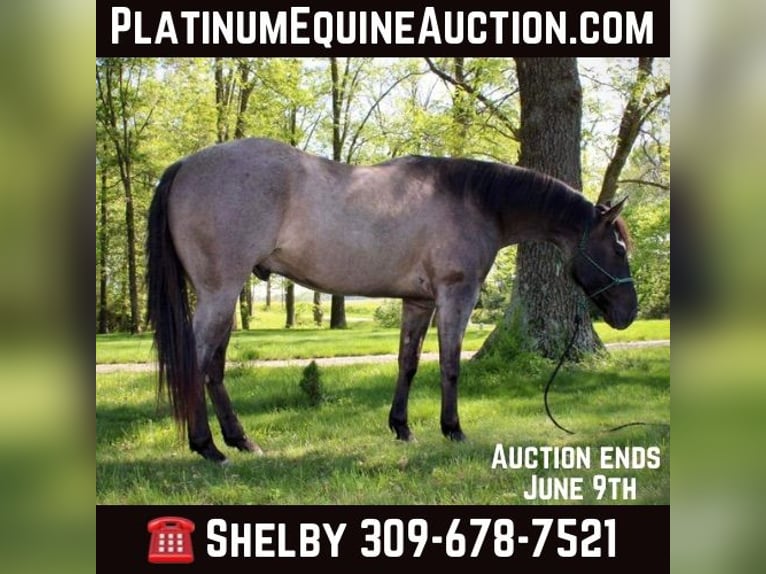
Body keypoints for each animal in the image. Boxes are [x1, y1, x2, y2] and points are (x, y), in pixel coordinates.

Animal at [146, 137, 637, 463]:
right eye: (619, 248)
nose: (628, 313)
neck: (475, 201)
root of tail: (186, 164)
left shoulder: (417, 302)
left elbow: (408, 362)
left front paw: (402, 428)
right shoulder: (456, 294)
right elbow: (450, 363)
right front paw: (453, 429)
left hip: (226, 296)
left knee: (214, 367)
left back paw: (240, 441)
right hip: (220, 292)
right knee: (198, 361)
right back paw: (208, 448)